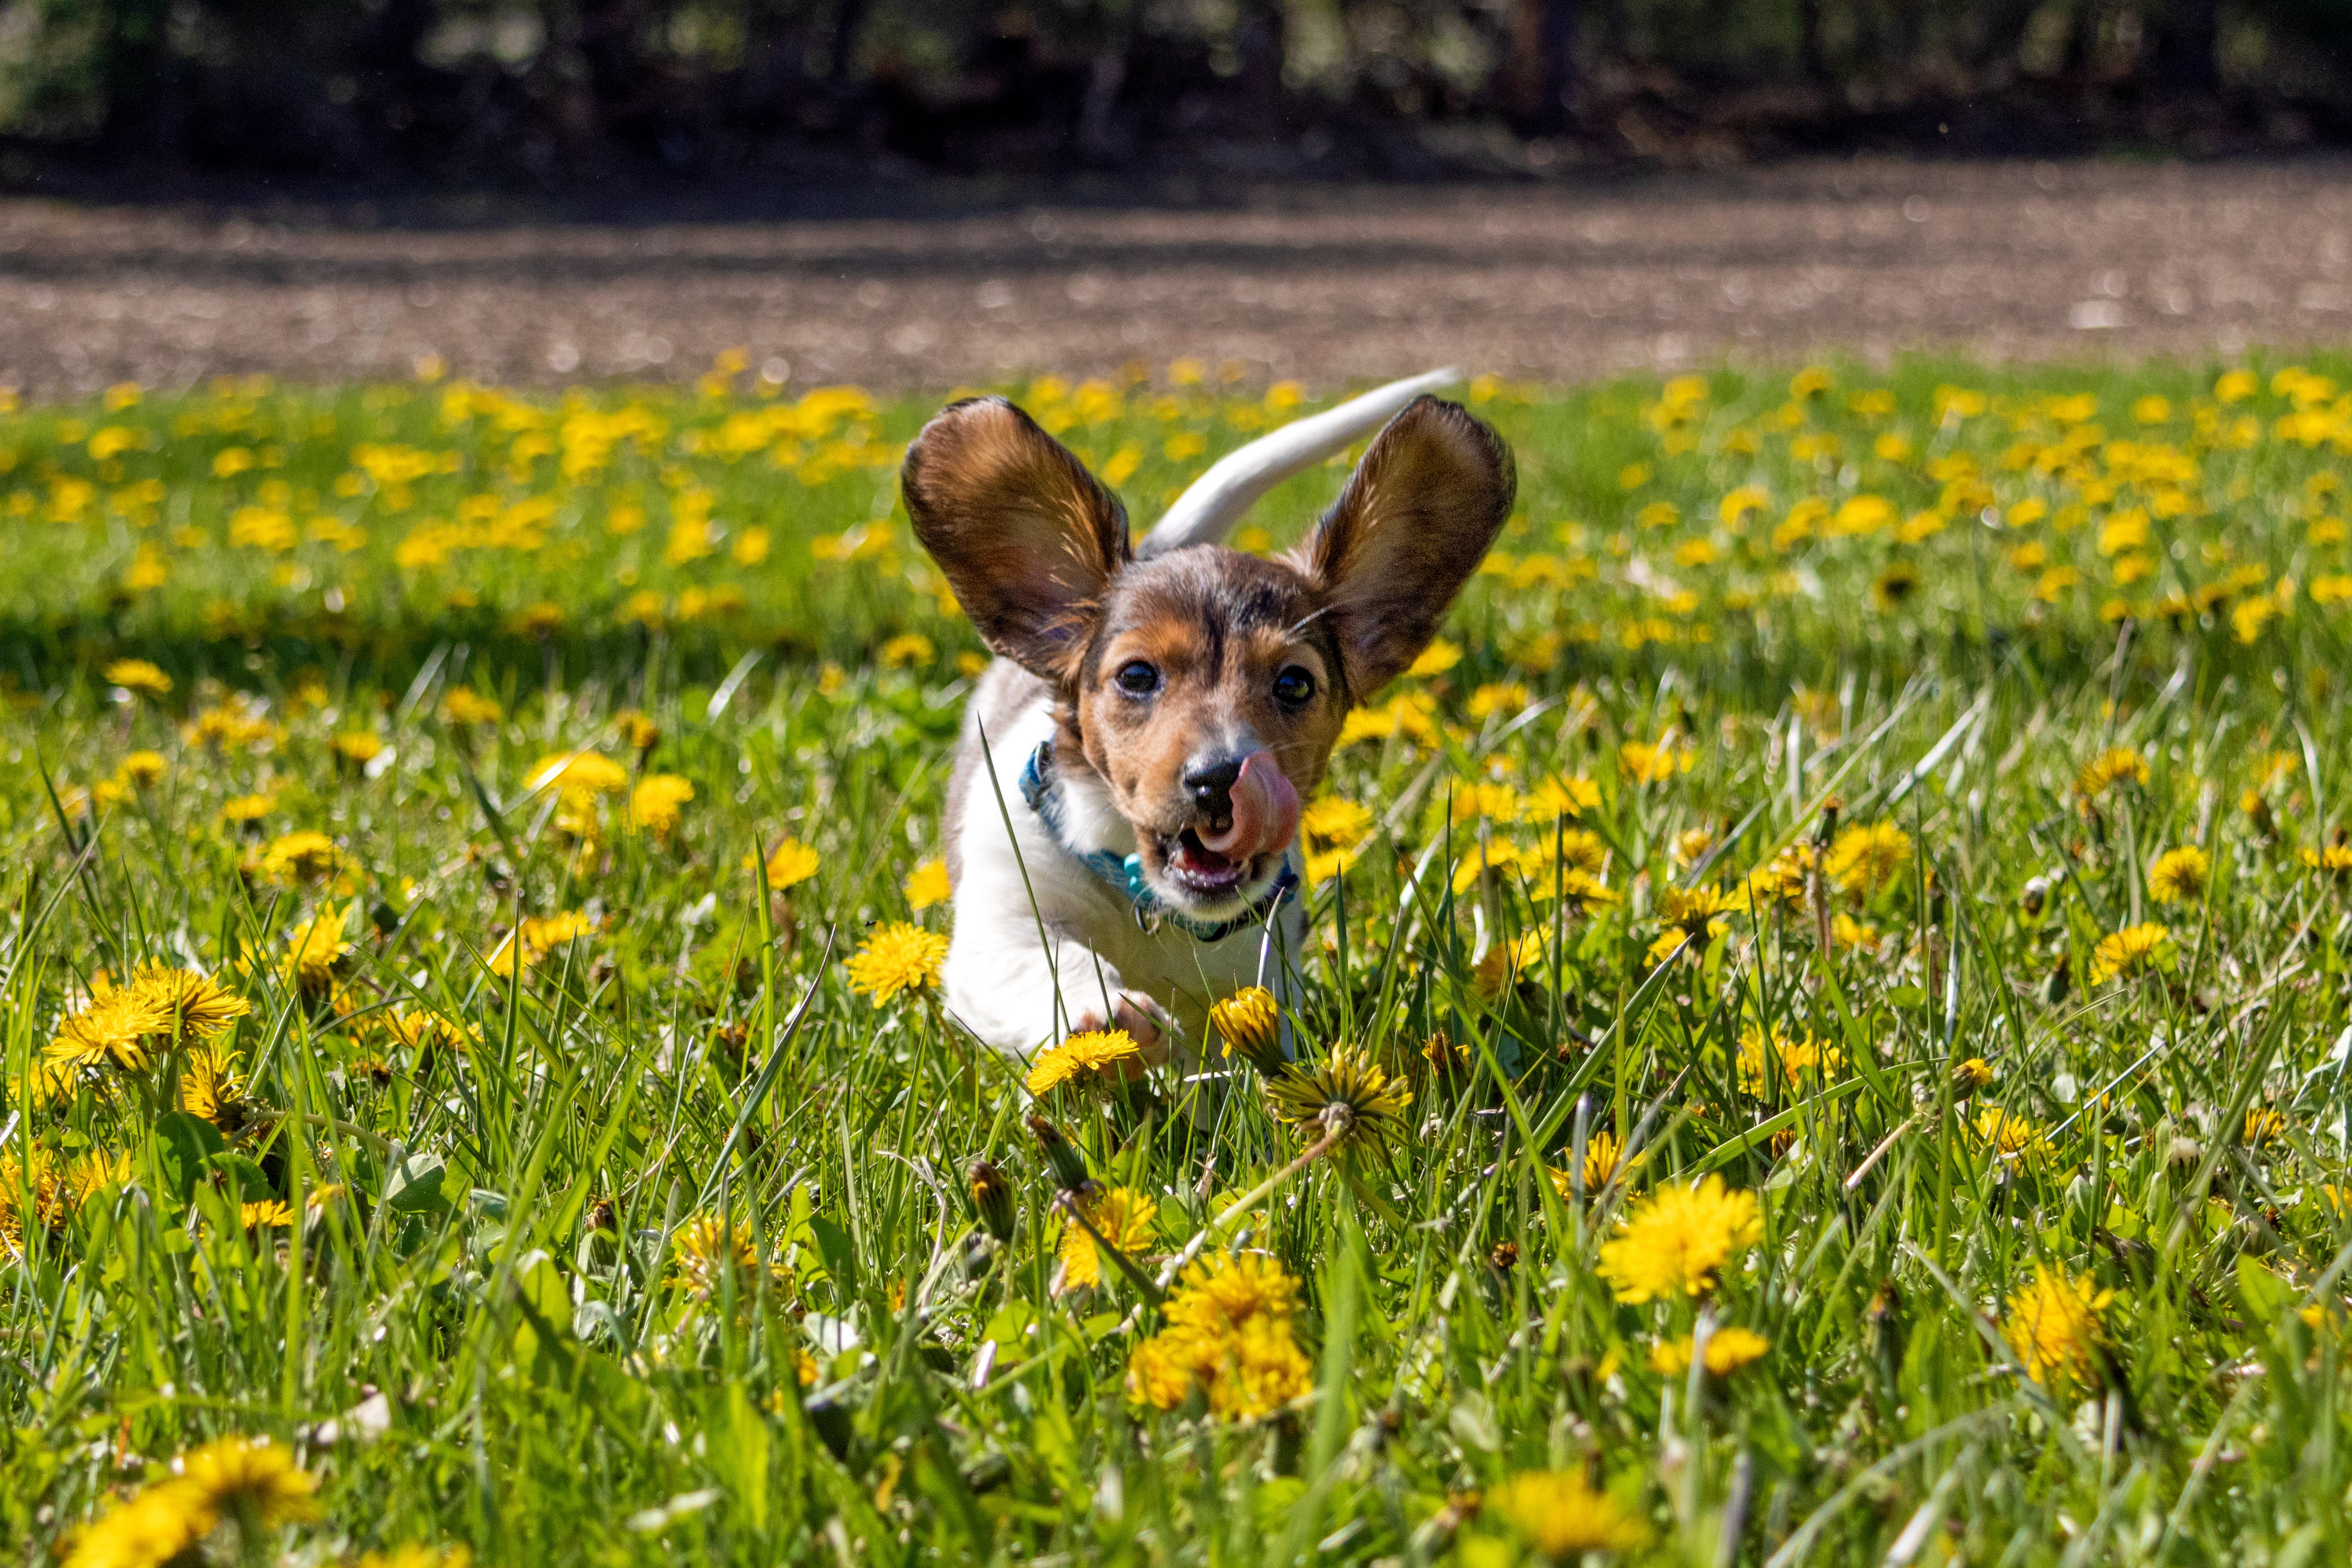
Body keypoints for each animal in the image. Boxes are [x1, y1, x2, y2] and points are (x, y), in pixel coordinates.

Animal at [898, 371, 1505, 1067]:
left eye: (1293, 683)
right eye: (1137, 677)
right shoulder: (1000, 923)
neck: (1150, 905)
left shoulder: (1265, 964)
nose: (1219, 782)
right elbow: (1046, 963)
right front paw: (1103, 1011)